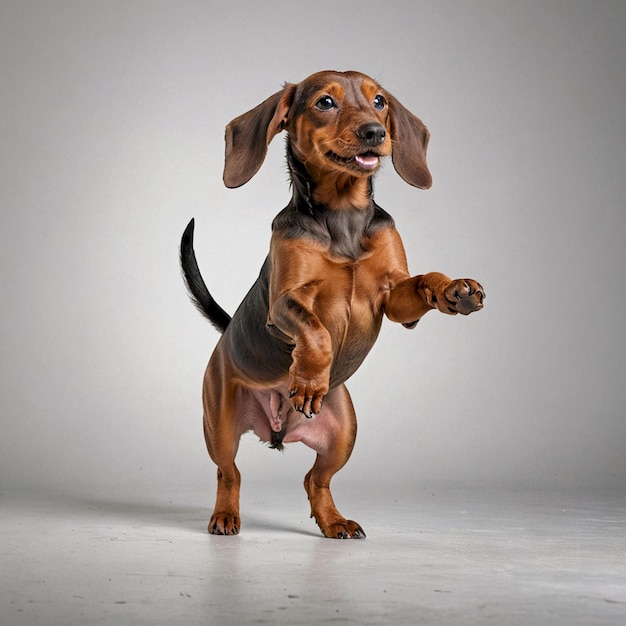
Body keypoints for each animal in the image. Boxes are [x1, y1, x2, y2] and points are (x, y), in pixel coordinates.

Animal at [179, 69, 482, 536]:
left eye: (379, 102)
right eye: (325, 102)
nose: (375, 132)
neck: (343, 215)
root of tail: (277, 428)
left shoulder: (393, 298)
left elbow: (422, 283)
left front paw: (455, 289)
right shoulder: (285, 304)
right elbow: (316, 331)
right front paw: (307, 380)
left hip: (344, 431)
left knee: (314, 479)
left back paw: (334, 521)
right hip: (221, 424)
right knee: (228, 473)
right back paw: (225, 515)